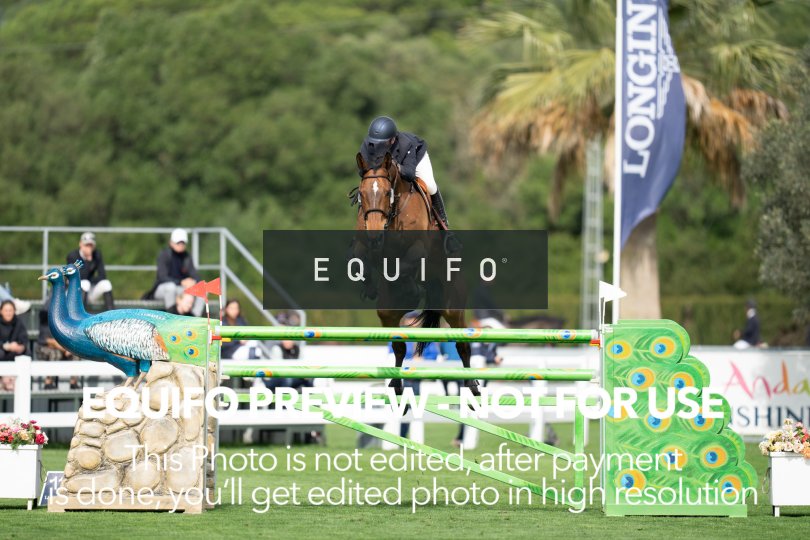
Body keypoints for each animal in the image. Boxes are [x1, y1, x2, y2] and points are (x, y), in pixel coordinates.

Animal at [354, 151, 480, 396]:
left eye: (387, 193)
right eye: (361, 194)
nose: (375, 233)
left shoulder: (418, 248)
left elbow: (404, 265)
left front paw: (411, 288)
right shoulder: (365, 244)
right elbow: (362, 258)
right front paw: (370, 287)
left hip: (453, 308)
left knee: (462, 345)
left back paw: (473, 385)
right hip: (388, 314)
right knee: (399, 347)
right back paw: (396, 384)